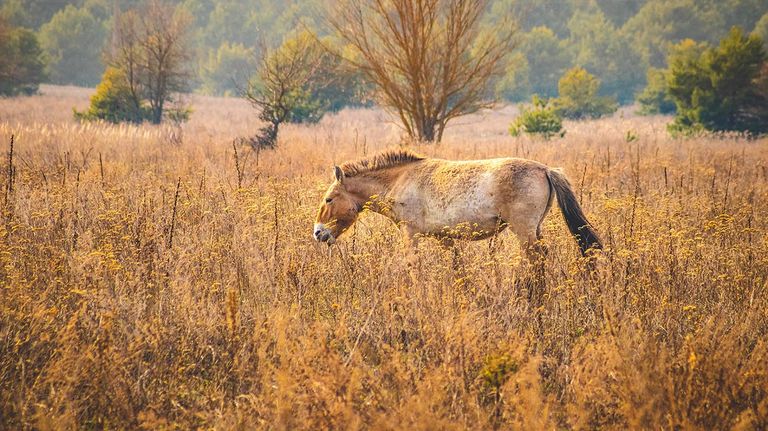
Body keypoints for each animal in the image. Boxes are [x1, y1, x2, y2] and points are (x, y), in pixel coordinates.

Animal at [313, 149, 601, 260]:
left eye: (329, 199)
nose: (317, 232)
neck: (400, 179)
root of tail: (545, 169)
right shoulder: (445, 239)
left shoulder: (410, 234)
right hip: (535, 229)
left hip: (524, 231)